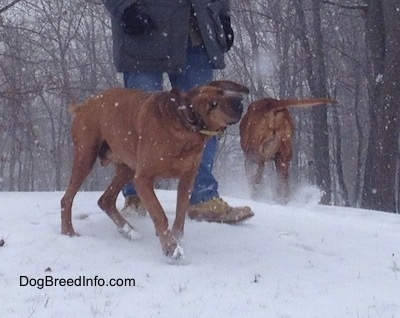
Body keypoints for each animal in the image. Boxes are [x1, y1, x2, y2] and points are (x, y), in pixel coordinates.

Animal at [60, 80, 248, 260]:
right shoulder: (143, 179)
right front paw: (170, 248)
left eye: (221, 92)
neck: (184, 128)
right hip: (86, 156)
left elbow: (180, 215)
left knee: (105, 200)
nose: (239, 102)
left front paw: (175, 239)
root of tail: (83, 106)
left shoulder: (188, 178)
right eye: (212, 105)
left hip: (127, 167)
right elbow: (159, 213)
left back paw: (128, 230)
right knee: (67, 199)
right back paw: (68, 231)